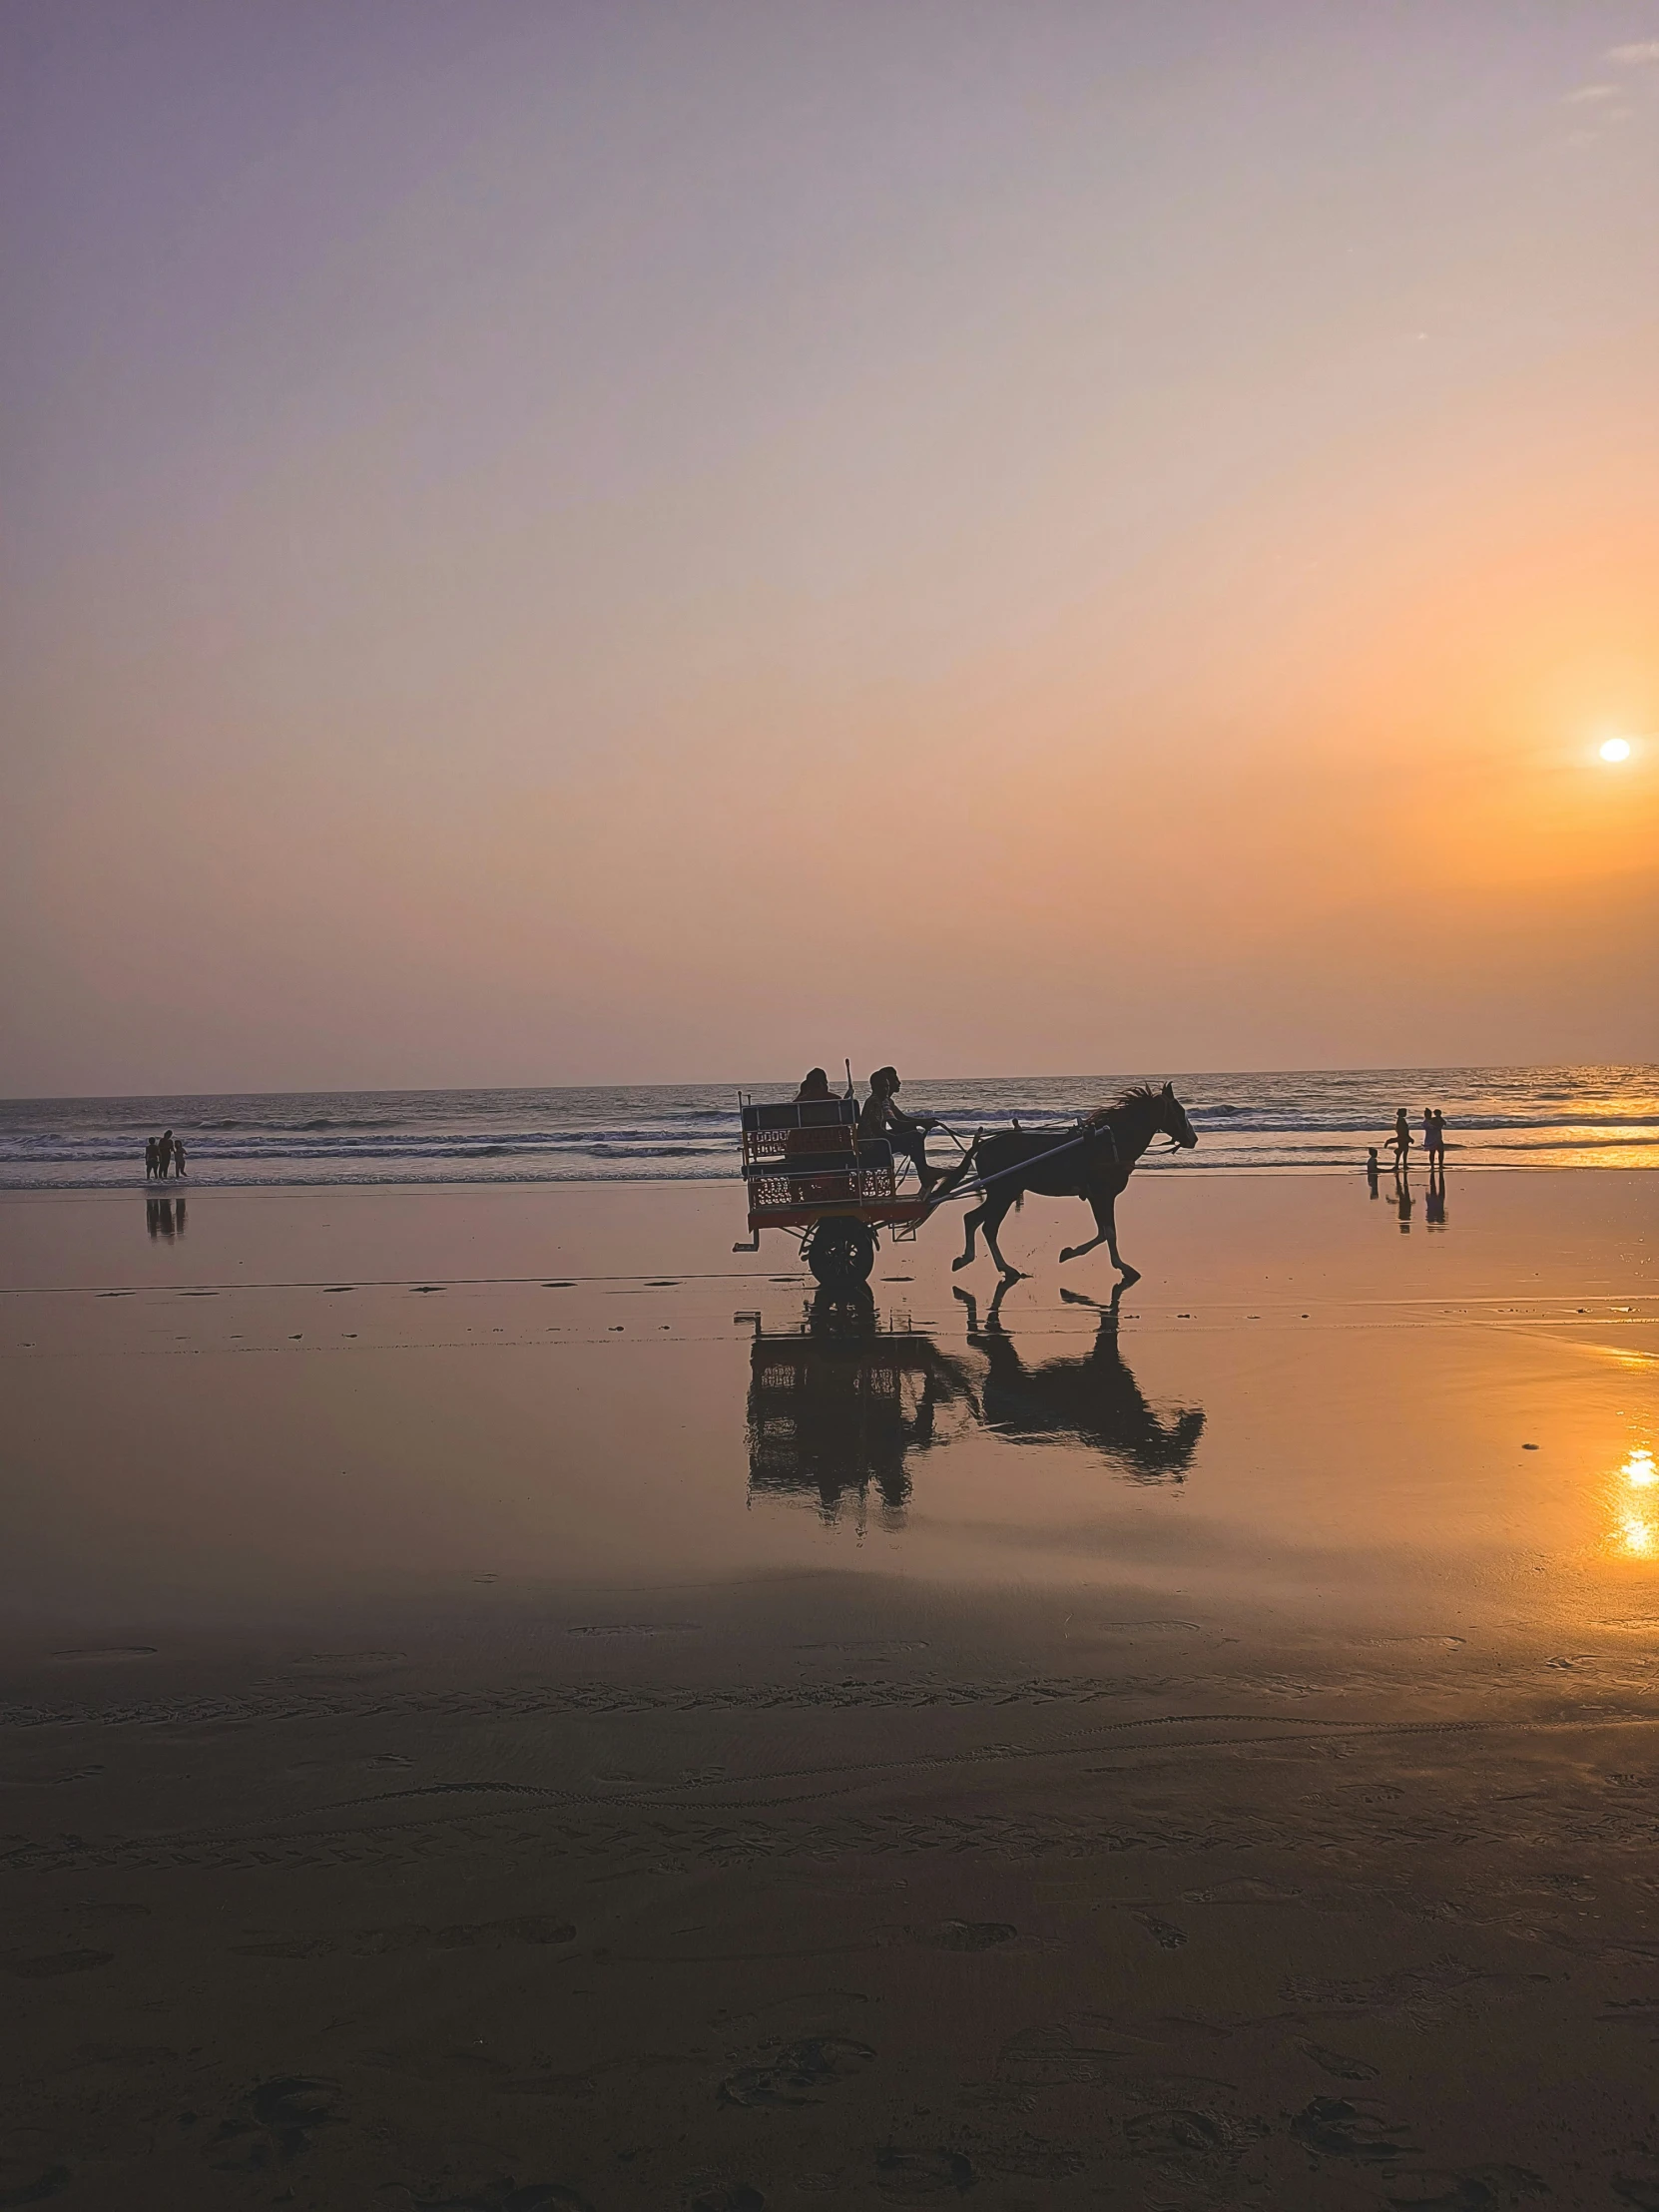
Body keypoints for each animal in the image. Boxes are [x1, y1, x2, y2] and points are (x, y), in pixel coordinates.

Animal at [937, 1074, 1194, 1283]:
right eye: (1180, 1112)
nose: (1194, 1139)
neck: (1110, 1142)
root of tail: (982, 1145)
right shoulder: (1103, 1195)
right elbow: (1109, 1233)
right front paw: (1122, 1267)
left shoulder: (1096, 1197)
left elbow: (1103, 1233)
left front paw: (1070, 1253)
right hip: (1003, 1193)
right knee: (984, 1225)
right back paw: (998, 1266)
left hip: (1002, 1193)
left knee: (975, 1221)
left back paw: (979, 1261)